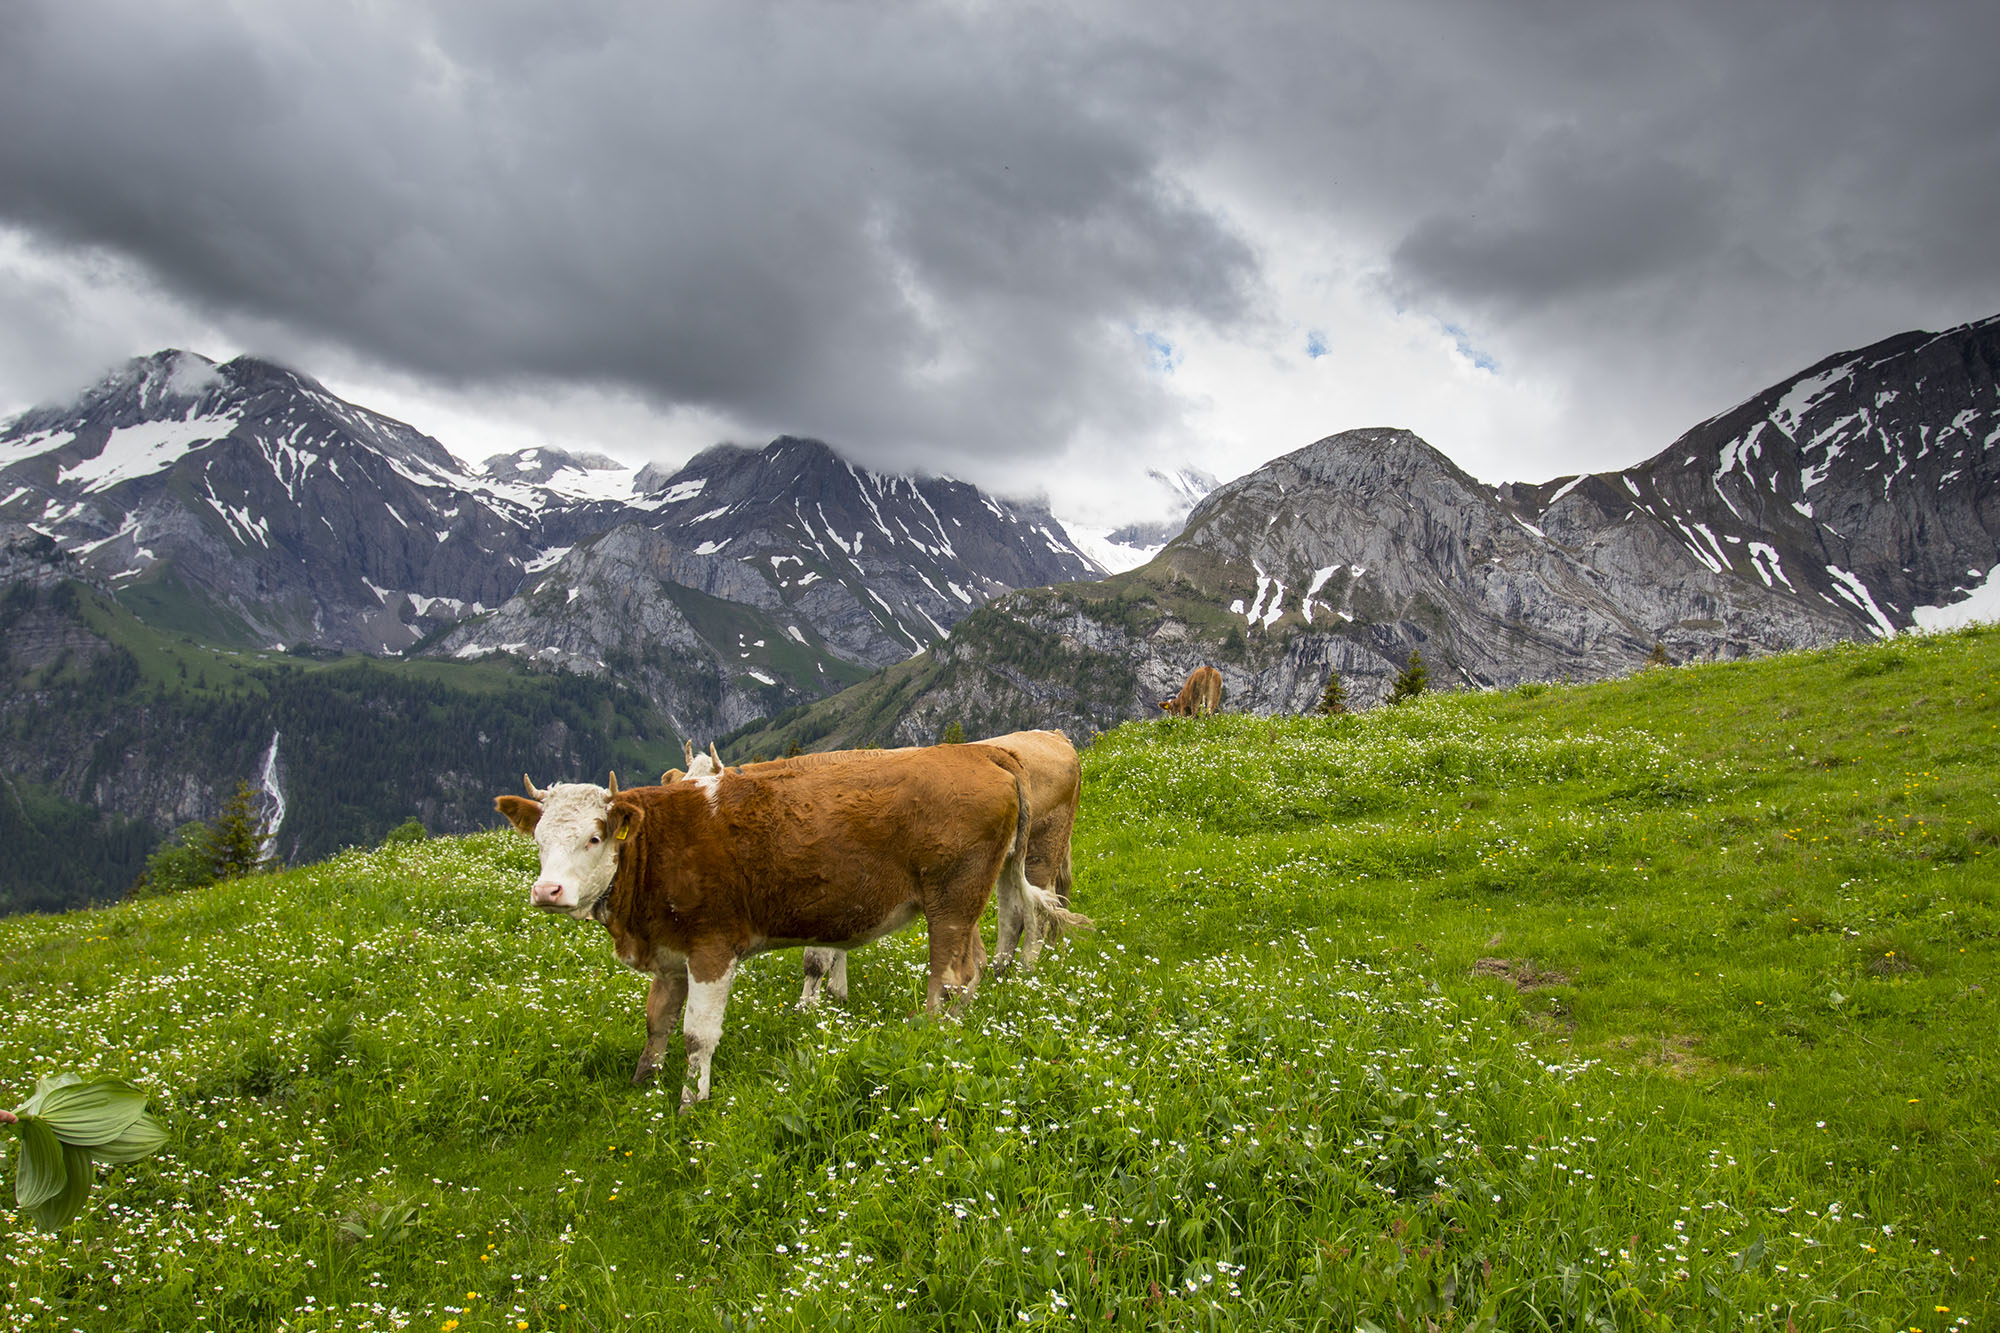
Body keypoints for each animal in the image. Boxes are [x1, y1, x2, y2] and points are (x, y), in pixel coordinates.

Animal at [496, 748, 1064, 1096]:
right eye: (539, 838)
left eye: (594, 837)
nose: (547, 891)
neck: (660, 843)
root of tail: (973, 751)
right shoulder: (670, 954)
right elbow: (657, 1022)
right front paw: (643, 1081)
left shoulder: (712, 948)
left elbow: (697, 1034)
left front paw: (690, 1102)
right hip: (973, 898)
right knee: (985, 953)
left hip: (952, 899)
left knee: (950, 975)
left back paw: (929, 1035)